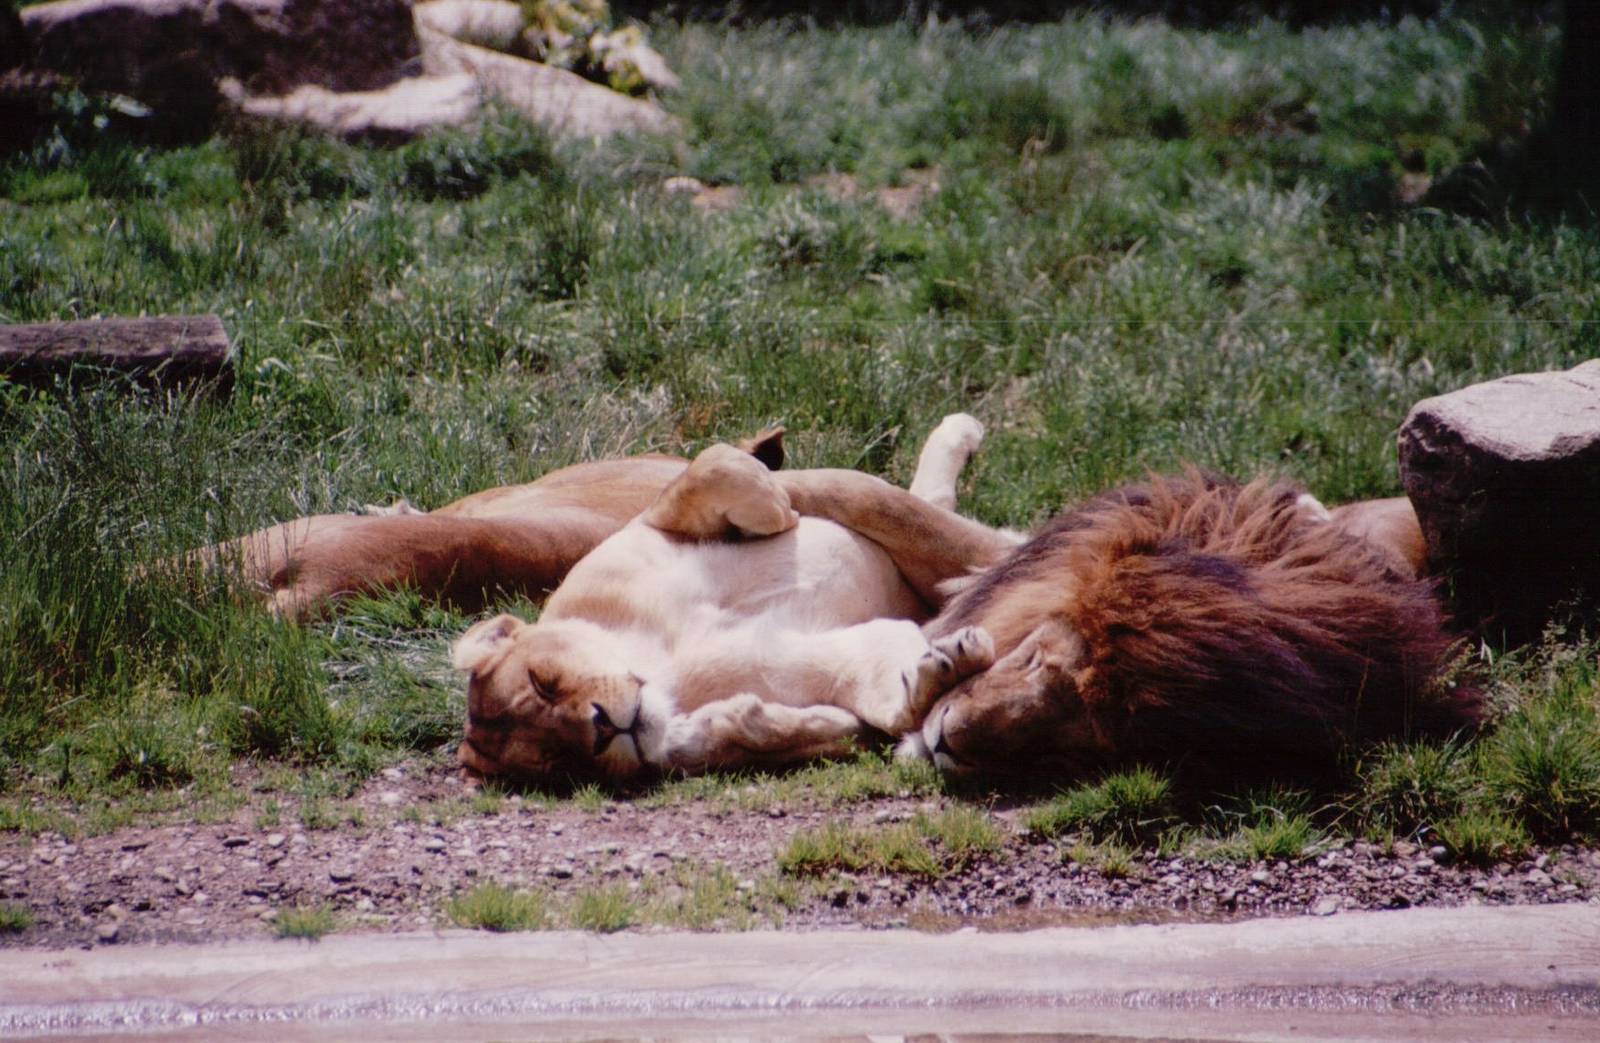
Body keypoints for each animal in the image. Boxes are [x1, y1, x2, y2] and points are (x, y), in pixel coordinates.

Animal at [450, 414, 1019, 782]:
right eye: (561, 763)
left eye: (541, 681)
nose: (602, 729)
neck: (659, 661)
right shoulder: (842, 673)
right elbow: (887, 703)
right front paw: (941, 671)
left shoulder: (645, 523)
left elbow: (710, 467)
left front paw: (776, 507)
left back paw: (960, 432)